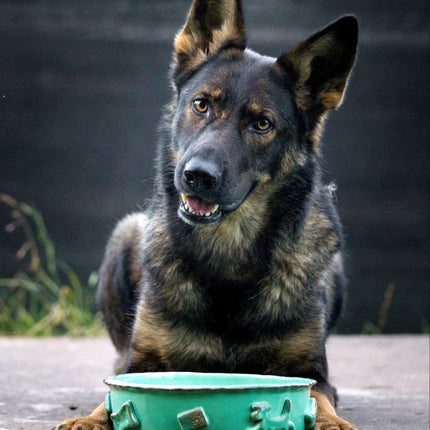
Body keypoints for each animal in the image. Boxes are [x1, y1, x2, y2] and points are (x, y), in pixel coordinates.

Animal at [56, 1, 360, 428]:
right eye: (202, 105)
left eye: (262, 123)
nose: (198, 176)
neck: (228, 253)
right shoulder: (142, 365)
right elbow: (113, 396)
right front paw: (87, 419)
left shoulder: (312, 373)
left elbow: (319, 398)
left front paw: (333, 422)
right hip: (124, 234)